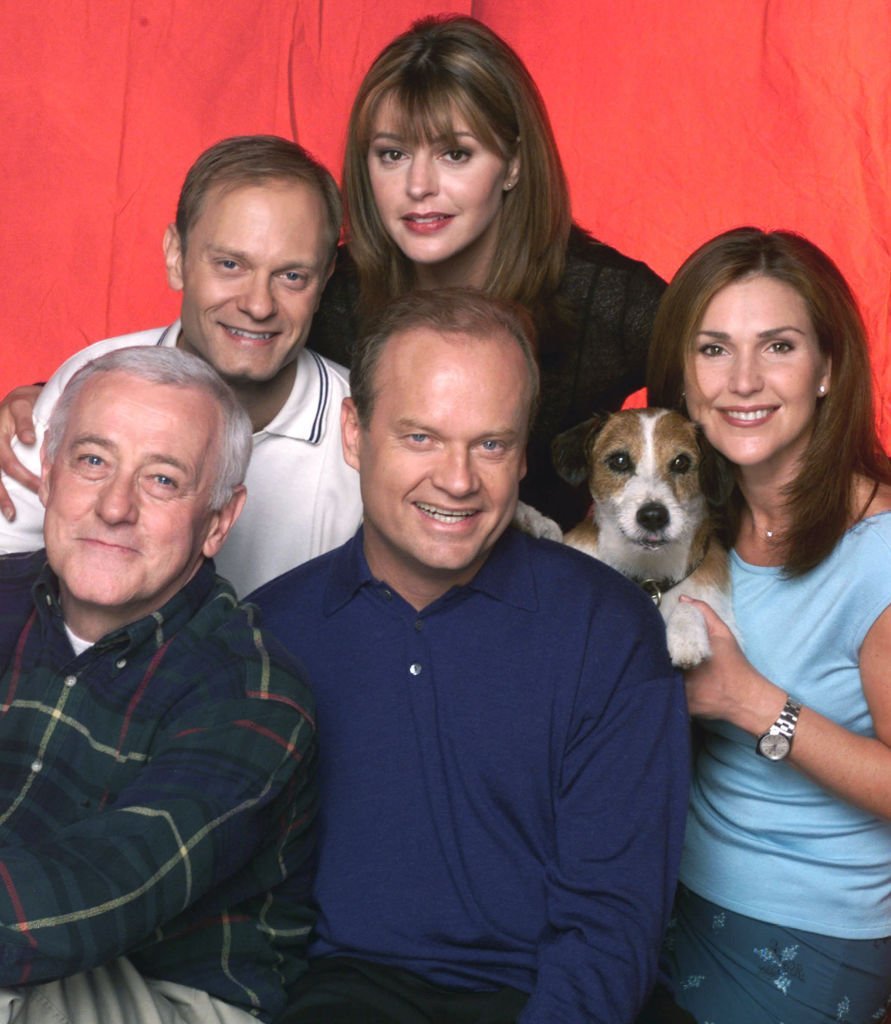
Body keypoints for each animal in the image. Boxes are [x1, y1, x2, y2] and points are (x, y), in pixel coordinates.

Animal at [553, 407, 737, 671]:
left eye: (681, 462)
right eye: (619, 460)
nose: (653, 516)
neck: (649, 572)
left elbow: (690, 603)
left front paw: (686, 635)